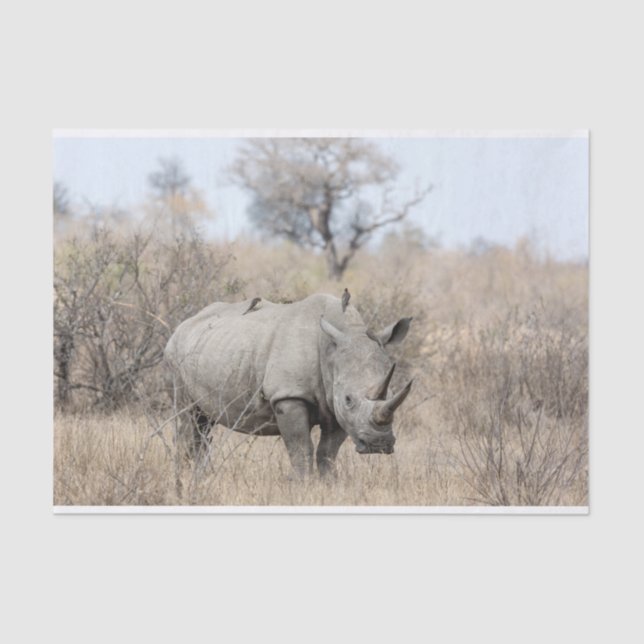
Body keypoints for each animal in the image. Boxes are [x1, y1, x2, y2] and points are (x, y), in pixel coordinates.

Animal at [164, 293, 413, 476]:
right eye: (349, 399)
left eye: (392, 392)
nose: (378, 445)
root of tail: (183, 325)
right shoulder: (289, 395)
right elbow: (301, 449)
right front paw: (304, 486)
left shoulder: (335, 405)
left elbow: (327, 453)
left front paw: (329, 485)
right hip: (175, 356)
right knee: (189, 418)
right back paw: (186, 478)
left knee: (203, 424)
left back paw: (200, 477)